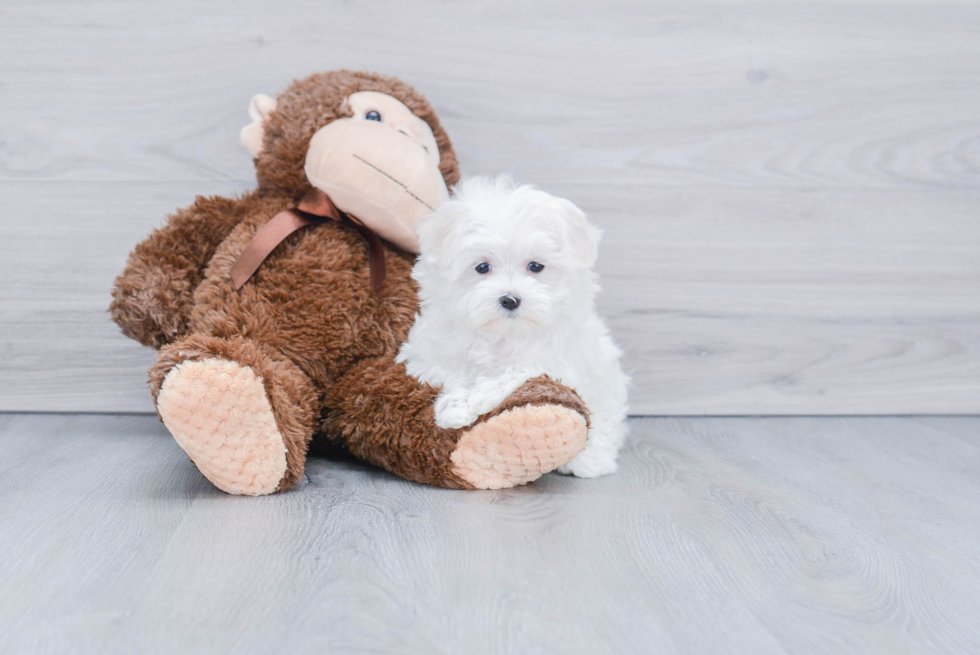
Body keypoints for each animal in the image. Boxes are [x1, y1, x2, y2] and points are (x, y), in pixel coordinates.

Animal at [396, 177, 632, 480]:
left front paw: (479, 398)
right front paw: (455, 409)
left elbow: (512, 370)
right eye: (482, 267)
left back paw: (591, 460)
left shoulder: (553, 361)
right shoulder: (426, 354)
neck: (502, 333)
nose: (510, 299)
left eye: (536, 266)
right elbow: (455, 371)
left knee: (606, 422)